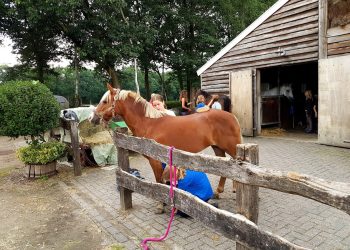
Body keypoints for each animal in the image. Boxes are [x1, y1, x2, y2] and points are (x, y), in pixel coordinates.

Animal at [89, 85, 242, 212]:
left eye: (104, 101)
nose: (92, 118)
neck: (149, 123)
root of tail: (232, 116)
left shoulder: (155, 160)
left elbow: (158, 181)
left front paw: (160, 204)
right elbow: (163, 181)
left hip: (231, 148)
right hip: (217, 147)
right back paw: (218, 192)